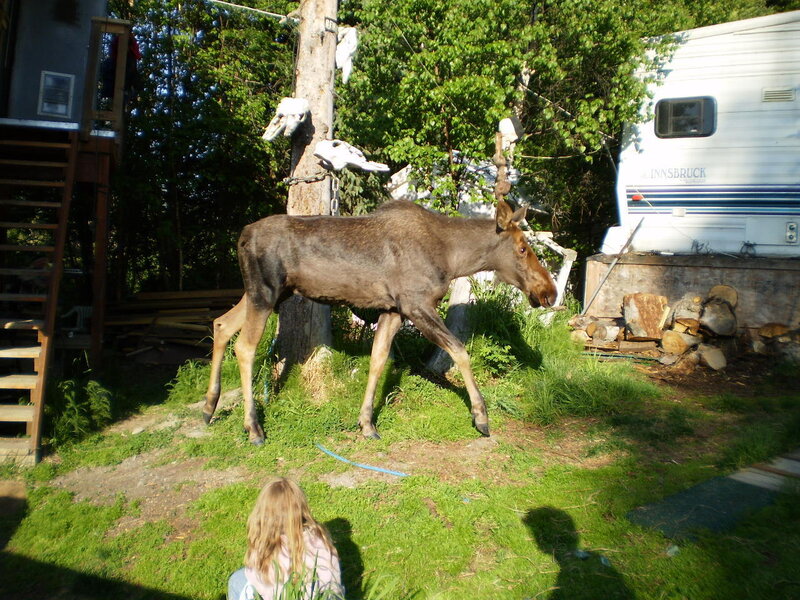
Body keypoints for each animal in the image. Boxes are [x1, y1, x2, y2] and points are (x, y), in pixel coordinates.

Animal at [202, 199, 557, 445]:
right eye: (522, 248)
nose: (549, 292)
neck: (454, 258)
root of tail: (242, 236)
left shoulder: (393, 310)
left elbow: (378, 359)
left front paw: (367, 423)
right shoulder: (416, 304)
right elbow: (460, 351)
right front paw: (481, 417)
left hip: (265, 293)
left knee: (221, 324)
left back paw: (209, 407)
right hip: (265, 292)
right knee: (245, 347)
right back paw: (253, 427)